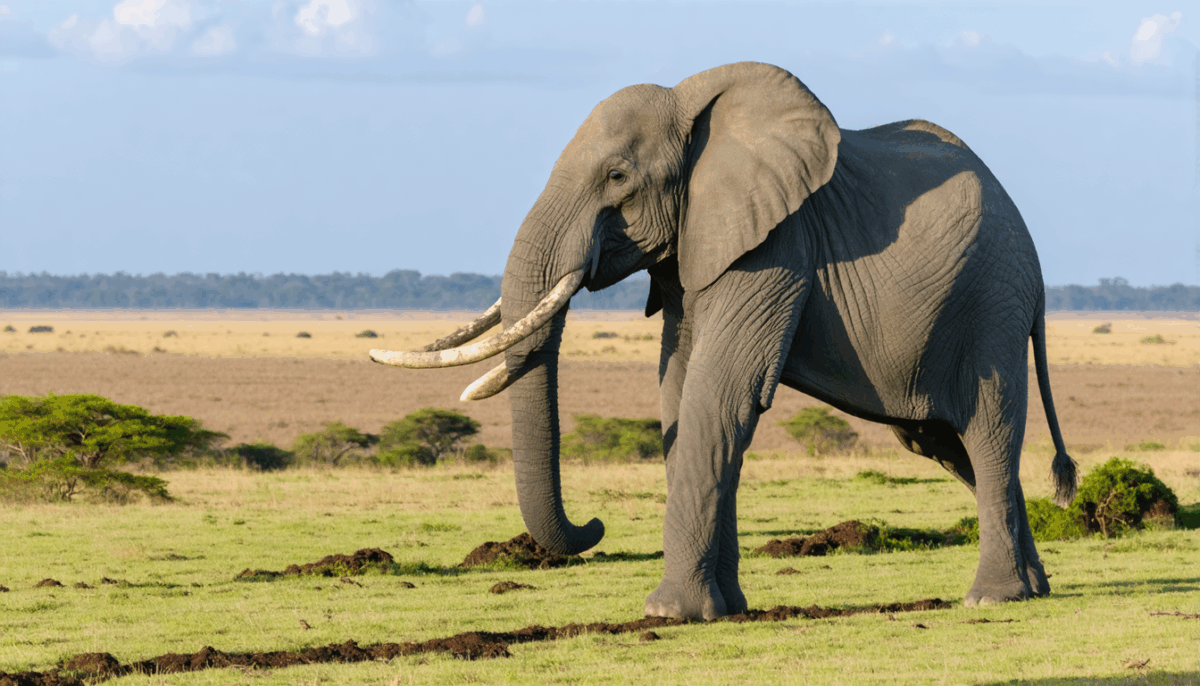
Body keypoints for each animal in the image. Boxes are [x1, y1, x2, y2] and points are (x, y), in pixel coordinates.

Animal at [372, 62, 1077, 620]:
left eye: (618, 176)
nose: (594, 523)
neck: (692, 106)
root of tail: (1038, 265)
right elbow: (680, 390)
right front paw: (725, 610)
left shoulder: (778, 242)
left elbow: (719, 391)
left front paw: (667, 613)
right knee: (945, 443)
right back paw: (1034, 588)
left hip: (991, 304)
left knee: (986, 428)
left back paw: (992, 598)